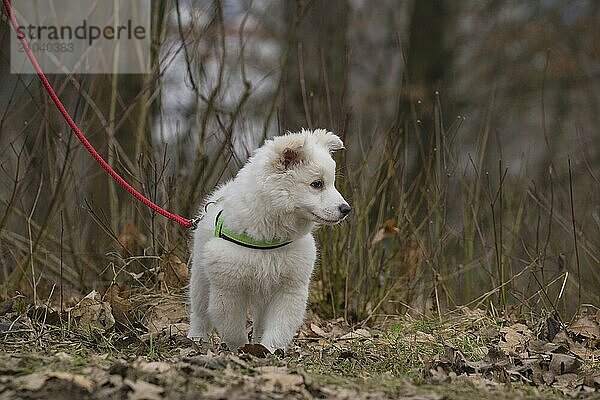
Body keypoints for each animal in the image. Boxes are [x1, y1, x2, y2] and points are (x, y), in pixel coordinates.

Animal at [189, 130, 352, 352]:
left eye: (332, 183)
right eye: (317, 184)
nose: (346, 209)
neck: (269, 237)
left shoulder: (289, 287)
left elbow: (280, 325)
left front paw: (269, 350)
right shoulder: (229, 287)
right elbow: (232, 327)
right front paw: (240, 348)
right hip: (200, 275)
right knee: (199, 311)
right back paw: (196, 339)